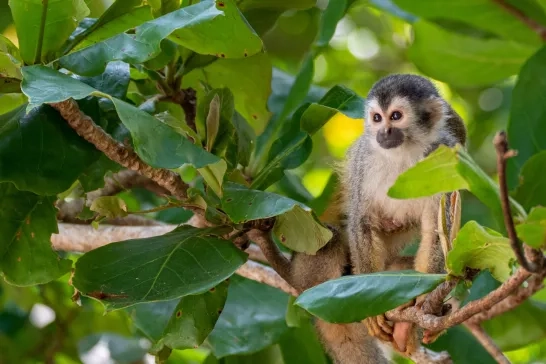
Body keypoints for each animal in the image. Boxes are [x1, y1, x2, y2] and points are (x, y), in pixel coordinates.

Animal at [340, 73, 464, 356]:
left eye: (395, 116)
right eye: (377, 118)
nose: (383, 132)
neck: (404, 153)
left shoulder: (444, 158)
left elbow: (436, 230)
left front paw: (423, 299)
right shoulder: (364, 160)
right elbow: (362, 222)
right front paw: (369, 306)